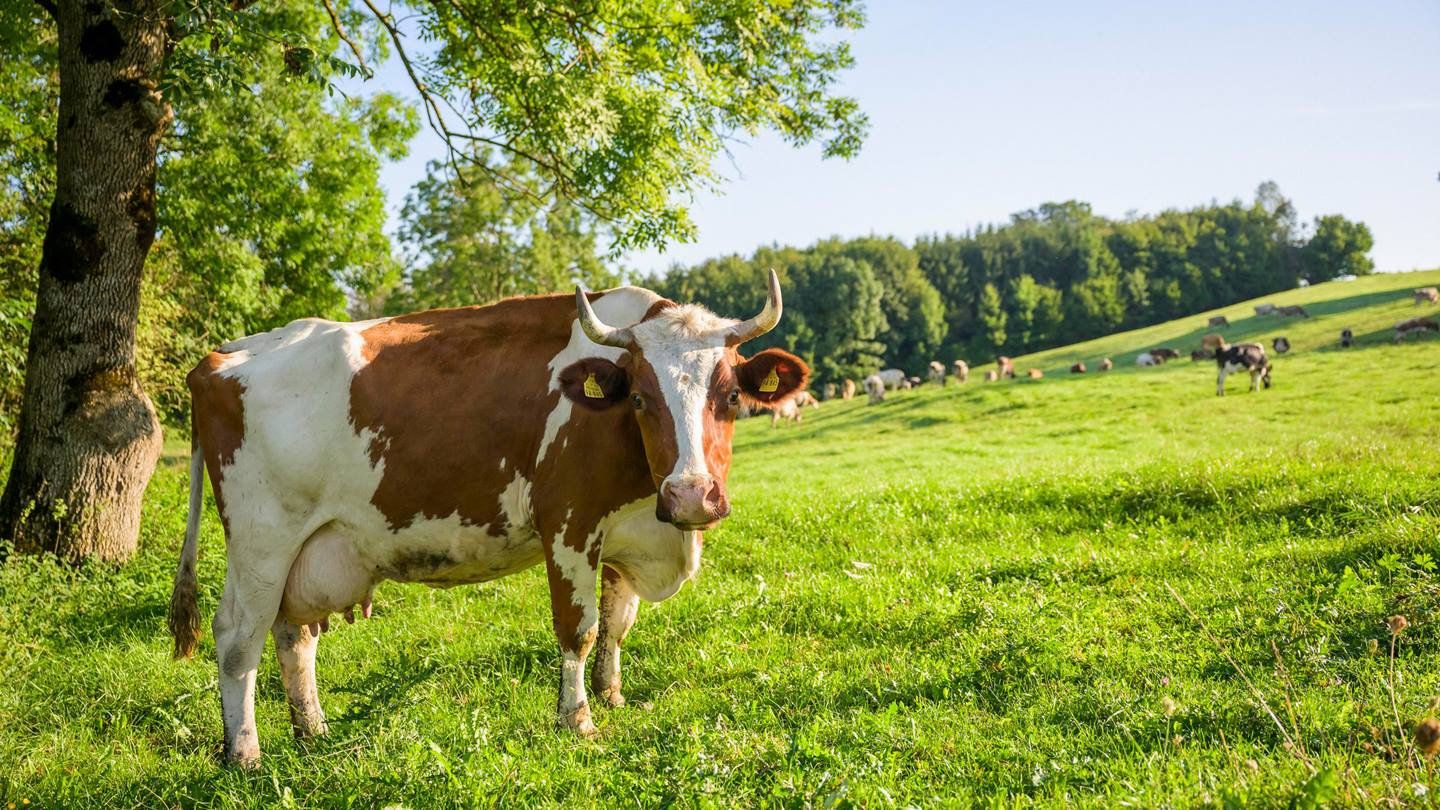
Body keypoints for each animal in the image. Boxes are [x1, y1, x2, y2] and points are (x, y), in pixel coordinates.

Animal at [167, 273, 808, 767]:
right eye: (641, 399)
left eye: (730, 397)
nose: (691, 496)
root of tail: (222, 355)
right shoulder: (568, 522)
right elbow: (580, 627)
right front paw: (577, 720)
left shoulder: (623, 530)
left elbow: (617, 623)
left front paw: (612, 697)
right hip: (261, 540)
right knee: (237, 640)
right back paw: (245, 755)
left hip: (305, 550)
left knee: (293, 635)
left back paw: (314, 732)